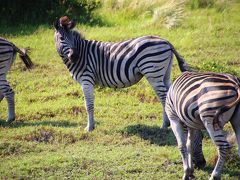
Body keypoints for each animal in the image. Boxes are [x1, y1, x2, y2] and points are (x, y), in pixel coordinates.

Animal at [53, 16, 190, 131]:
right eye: (62, 38)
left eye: (72, 38)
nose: (74, 56)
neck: (83, 53)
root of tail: (166, 41)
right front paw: (91, 126)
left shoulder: (86, 80)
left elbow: (89, 105)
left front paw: (90, 128)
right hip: (165, 73)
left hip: (153, 73)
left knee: (164, 97)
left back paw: (164, 125)